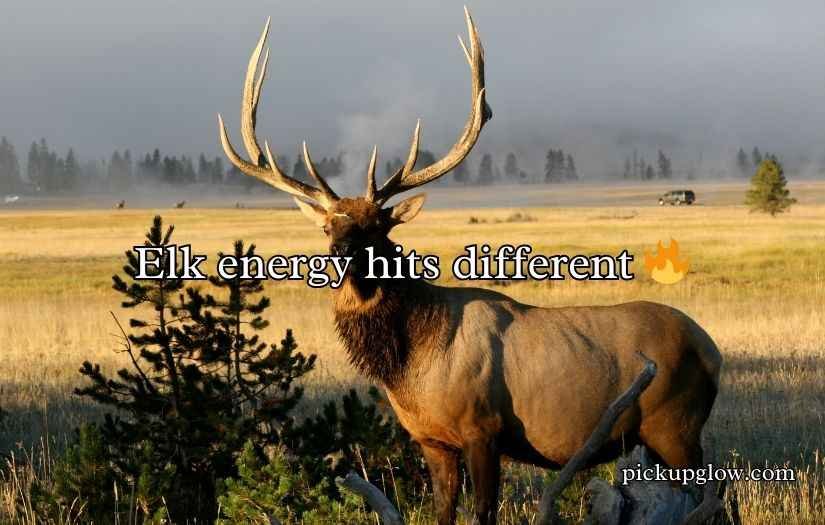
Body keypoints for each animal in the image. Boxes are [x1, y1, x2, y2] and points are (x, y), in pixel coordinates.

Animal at [217, 9, 722, 525]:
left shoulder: (484, 429)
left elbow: (483, 512)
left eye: (378, 225)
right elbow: (443, 512)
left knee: (717, 494)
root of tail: (711, 349)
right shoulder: (431, 439)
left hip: (676, 423)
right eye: (327, 227)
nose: (338, 254)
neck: (411, 368)